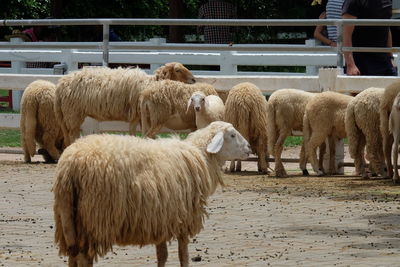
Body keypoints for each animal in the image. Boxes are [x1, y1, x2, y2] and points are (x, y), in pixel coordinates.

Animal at [53, 122, 252, 267]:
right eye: (232, 135)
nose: (249, 148)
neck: (200, 155)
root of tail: (70, 165)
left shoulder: (161, 219)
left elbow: (162, 255)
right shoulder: (184, 218)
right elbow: (183, 255)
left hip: (70, 220)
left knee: (73, 256)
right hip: (94, 218)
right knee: (83, 258)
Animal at [54, 62, 195, 148]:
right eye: (177, 70)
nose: (194, 79)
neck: (148, 84)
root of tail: (60, 85)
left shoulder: (139, 116)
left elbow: (141, 133)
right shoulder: (136, 114)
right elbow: (134, 132)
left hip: (68, 114)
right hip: (73, 113)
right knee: (72, 135)